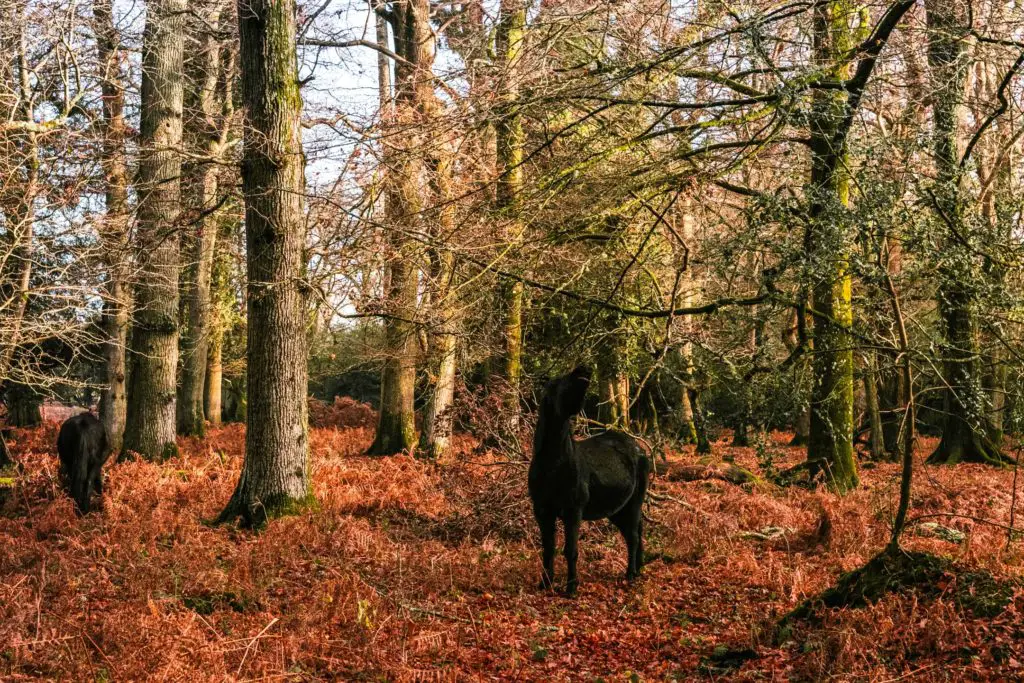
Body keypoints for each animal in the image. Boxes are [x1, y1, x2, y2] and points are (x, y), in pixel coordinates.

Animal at [528, 366, 647, 593]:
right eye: (558, 382)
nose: (583, 369)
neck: (553, 465)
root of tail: (639, 449)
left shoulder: (573, 510)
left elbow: (570, 550)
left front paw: (571, 588)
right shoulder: (542, 510)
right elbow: (548, 548)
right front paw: (545, 583)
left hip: (635, 503)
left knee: (633, 536)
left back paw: (630, 574)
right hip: (617, 510)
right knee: (634, 532)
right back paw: (638, 569)